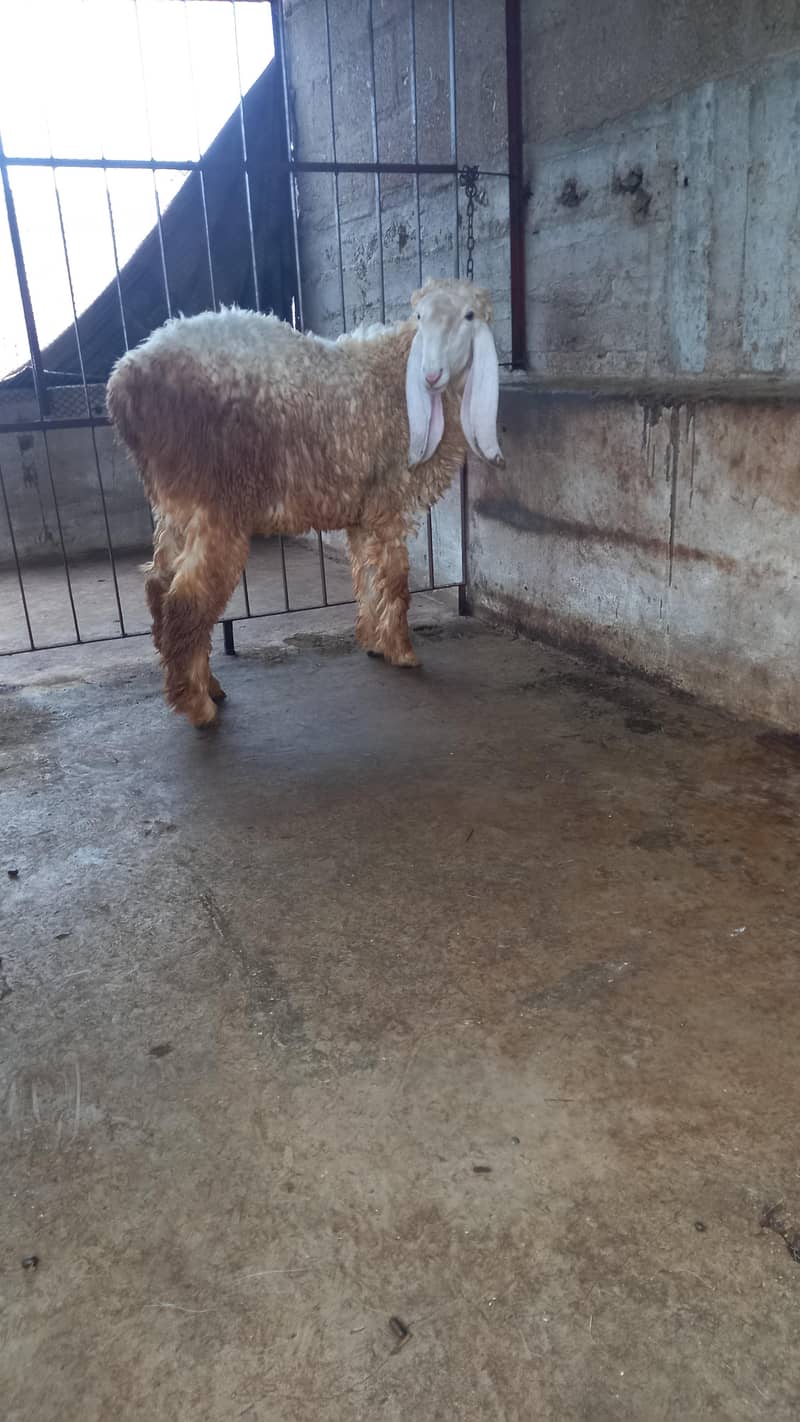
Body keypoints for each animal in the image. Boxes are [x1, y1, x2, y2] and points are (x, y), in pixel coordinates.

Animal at [106, 277, 505, 727]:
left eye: (469, 317)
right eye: (420, 317)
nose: (431, 374)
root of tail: (124, 380)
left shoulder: (364, 512)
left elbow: (367, 576)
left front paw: (374, 641)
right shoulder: (387, 502)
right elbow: (396, 581)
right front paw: (403, 651)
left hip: (174, 503)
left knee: (159, 585)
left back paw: (206, 686)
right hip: (215, 502)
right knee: (186, 599)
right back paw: (197, 705)